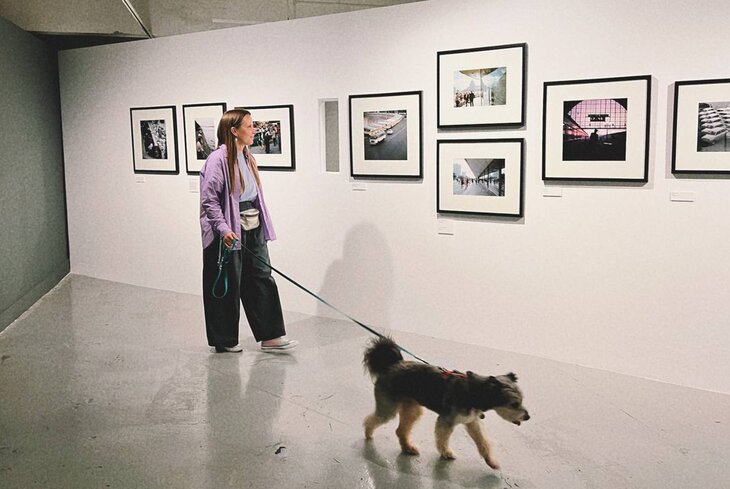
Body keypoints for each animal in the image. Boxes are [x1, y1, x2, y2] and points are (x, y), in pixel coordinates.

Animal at [362, 336, 528, 468]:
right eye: (514, 404)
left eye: (522, 401)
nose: (527, 417)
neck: (475, 393)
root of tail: (392, 365)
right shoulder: (445, 421)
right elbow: (442, 440)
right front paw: (446, 453)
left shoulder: (472, 422)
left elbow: (483, 443)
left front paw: (491, 461)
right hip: (388, 409)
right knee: (371, 420)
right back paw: (368, 434)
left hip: (412, 410)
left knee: (400, 430)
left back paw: (408, 448)